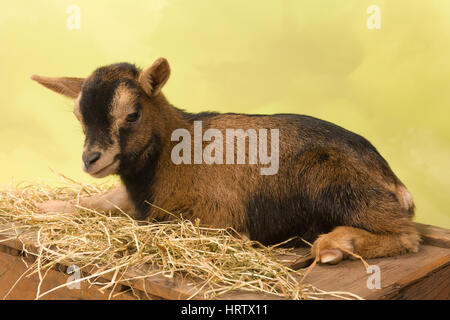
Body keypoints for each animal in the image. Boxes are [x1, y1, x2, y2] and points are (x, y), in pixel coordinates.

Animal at [30, 58, 418, 264]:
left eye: (133, 114)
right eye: (79, 117)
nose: (91, 159)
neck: (176, 151)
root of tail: (392, 178)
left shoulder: (213, 217)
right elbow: (98, 202)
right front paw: (48, 208)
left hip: (333, 180)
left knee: (407, 235)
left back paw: (334, 246)